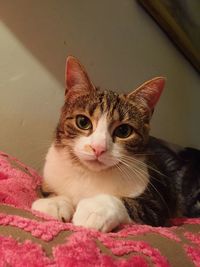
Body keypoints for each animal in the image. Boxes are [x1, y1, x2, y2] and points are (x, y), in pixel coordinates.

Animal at [31, 56, 200, 232]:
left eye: (124, 131)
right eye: (83, 122)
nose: (98, 148)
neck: (91, 174)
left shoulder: (156, 206)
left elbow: (130, 204)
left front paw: (95, 210)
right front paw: (54, 202)